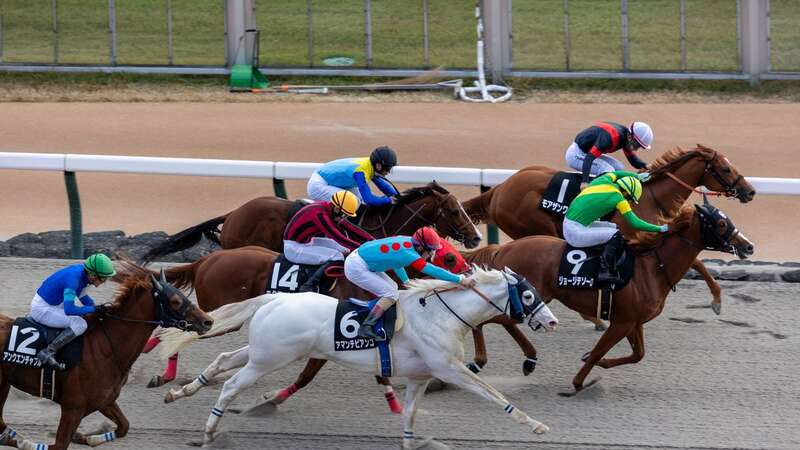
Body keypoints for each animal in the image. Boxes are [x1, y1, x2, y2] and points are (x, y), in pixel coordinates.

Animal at [0, 260, 212, 450]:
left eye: (183, 295)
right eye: (175, 301)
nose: (207, 321)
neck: (106, 349)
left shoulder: (105, 401)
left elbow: (124, 427)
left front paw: (83, 438)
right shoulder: (73, 408)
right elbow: (60, 444)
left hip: (5, 384)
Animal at [166, 268, 560, 446]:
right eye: (527, 295)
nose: (552, 320)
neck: (440, 314)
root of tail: (273, 299)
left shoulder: (420, 375)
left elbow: (410, 414)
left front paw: (408, 442)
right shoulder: (449, 368)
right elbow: (492, 394)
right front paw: (536, 424)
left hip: (263, 351)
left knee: (223, 359)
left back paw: (178, 392)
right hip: (270, 359)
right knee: (231, 384)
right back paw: (209, 431)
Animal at [462, 146, 756, 314]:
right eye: (725, 168)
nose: (750, 191)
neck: (652, 197)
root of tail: (499, 189)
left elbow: (697, 262)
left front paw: (716, 299)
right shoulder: (635, 236)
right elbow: (694, 260)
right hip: (534, 226)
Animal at [466, 200, 752, 394]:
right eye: (721, 223)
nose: (748, 246)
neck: (651, 268)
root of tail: (503, 249)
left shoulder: (633, 321)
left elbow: (637, 355)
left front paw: (594, 363)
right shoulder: (622, 322)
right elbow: (599, 352)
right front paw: (578, 382)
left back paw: (524, 360)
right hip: (532, 298)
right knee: (491, 320)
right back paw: (490, 360)